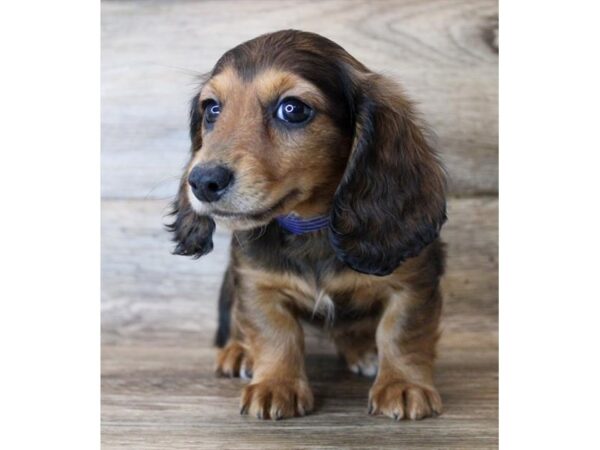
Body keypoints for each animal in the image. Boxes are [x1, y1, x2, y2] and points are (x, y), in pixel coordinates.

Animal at [169, 29, 446, 420]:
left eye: (293, 109)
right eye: (212, 109)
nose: (203, 181)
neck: (312, 225)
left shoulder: (413, 282)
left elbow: (401, 332)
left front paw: (403, 385)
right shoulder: (256, 283)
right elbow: (276, 333)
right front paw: (275, 385)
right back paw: (239, 352)